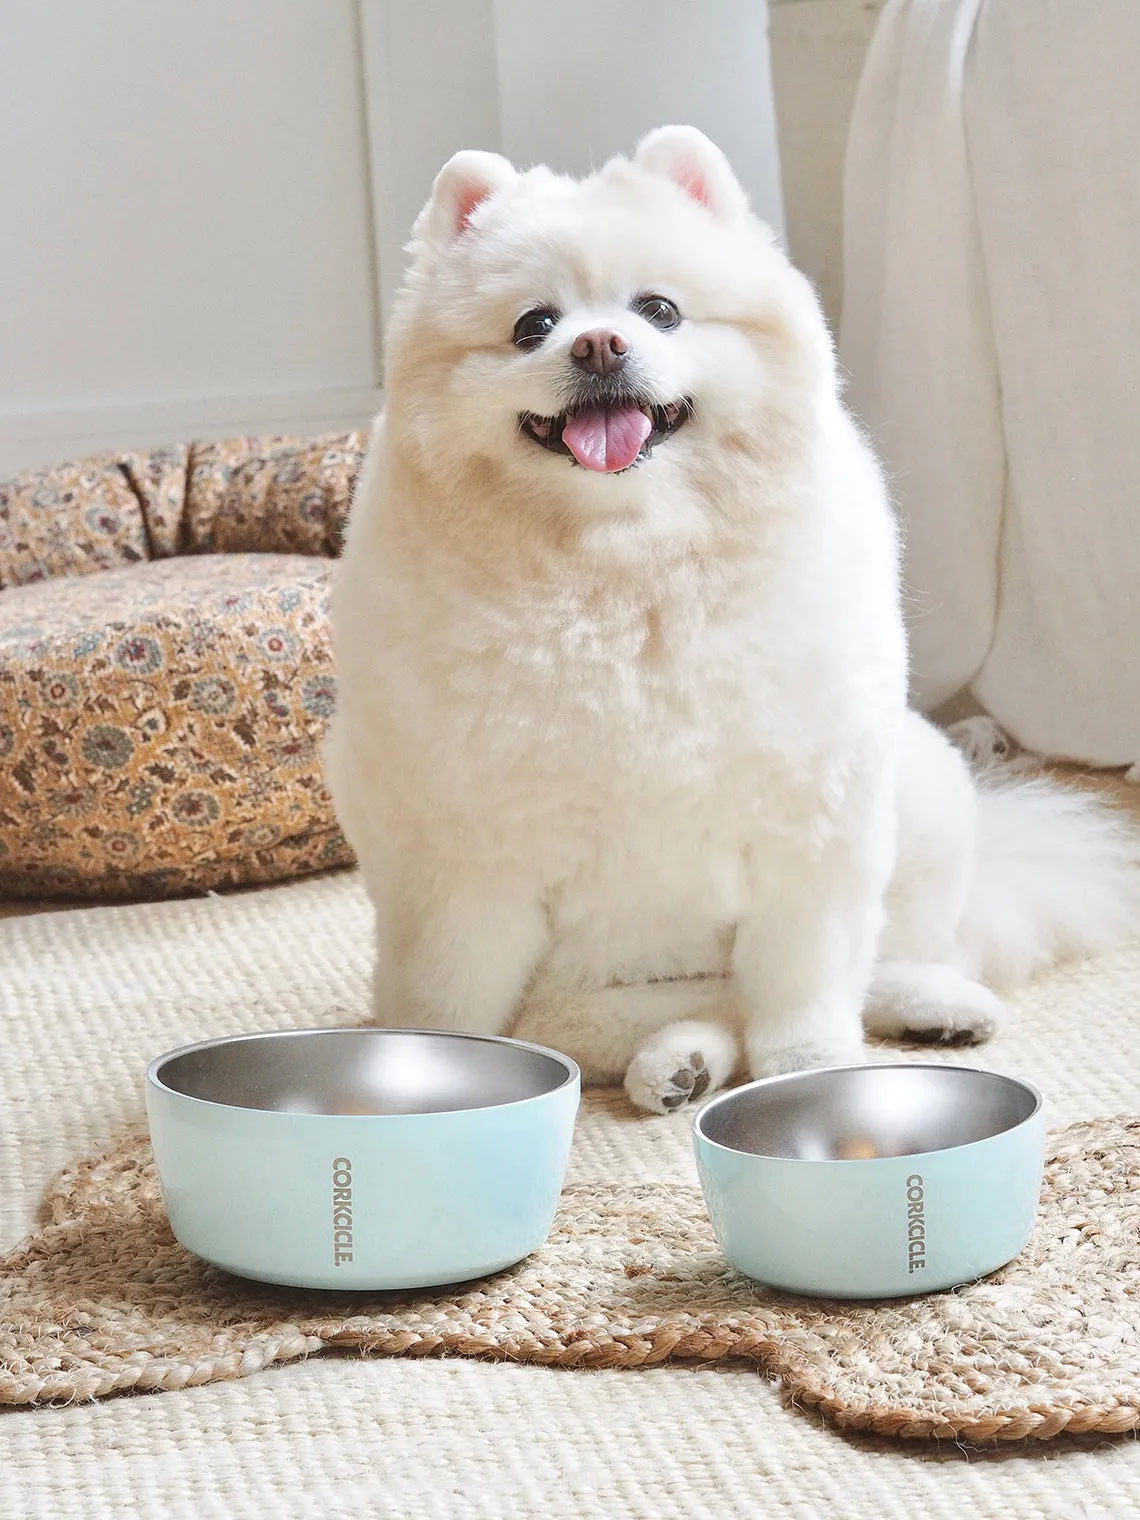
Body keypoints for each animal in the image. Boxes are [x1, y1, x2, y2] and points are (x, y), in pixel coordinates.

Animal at [323, 124, 1140, 1112]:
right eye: (533, 325)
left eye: (660, 310)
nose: (600, 345)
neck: (626, 572)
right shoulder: (463, 860)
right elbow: (457, 1002)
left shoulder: (809, 816)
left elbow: (804, 980)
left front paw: (811, 1068)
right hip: (606, 973)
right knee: (658, 1013)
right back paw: (679, 1064)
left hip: (927, 794)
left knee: (871, 962)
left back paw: (928, 1006)